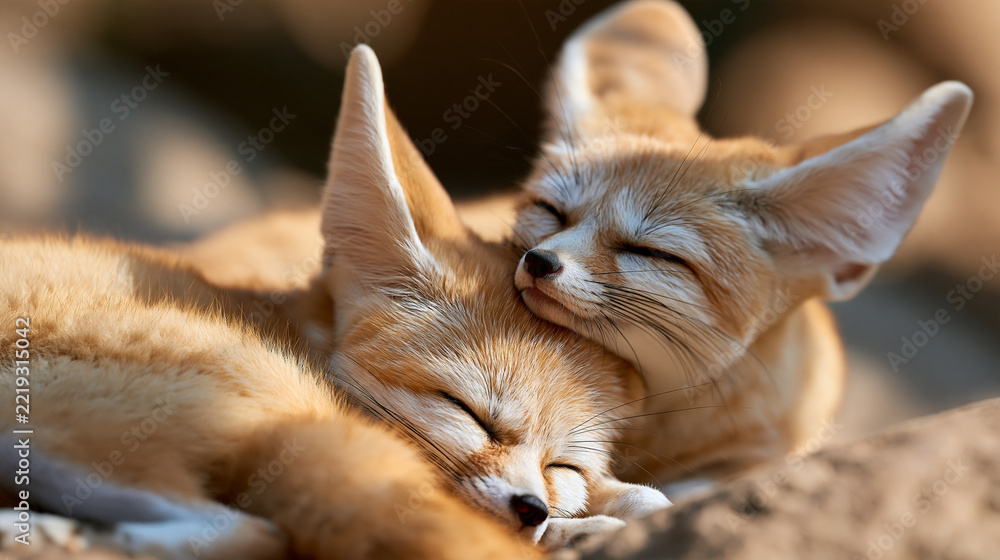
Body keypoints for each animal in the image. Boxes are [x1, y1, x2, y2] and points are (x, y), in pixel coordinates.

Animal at [0, 45, 671, 558]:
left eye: (564, 467)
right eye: (466, 411)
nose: (532, 507)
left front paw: (592, 513)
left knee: (252, 532)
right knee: (251, 530)